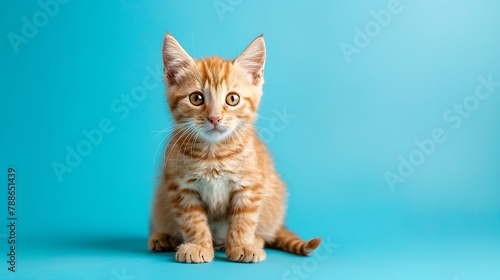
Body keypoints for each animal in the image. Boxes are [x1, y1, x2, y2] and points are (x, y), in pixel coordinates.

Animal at [147, 32, 320, 262]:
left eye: (232, 99)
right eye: (196, 98)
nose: (214, 118)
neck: (213, 154)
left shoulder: (250, 186)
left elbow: (243, 220)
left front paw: (242, 245)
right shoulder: (181, 188)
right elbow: (193, 221)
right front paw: (198, 245)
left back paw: (248, 241)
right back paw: (163, 236)